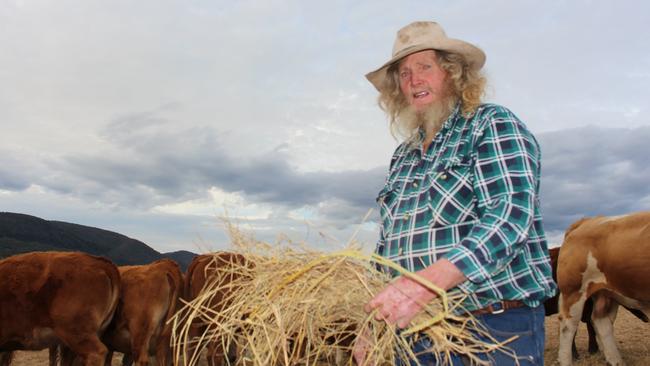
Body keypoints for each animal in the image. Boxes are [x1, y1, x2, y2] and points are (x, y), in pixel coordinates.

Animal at [556, 212, 648, 366]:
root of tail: (585, 222)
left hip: (606, 293)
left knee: (600, 321)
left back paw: (615, 361)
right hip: (574, 291)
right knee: (568, 326)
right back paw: (566, 361)